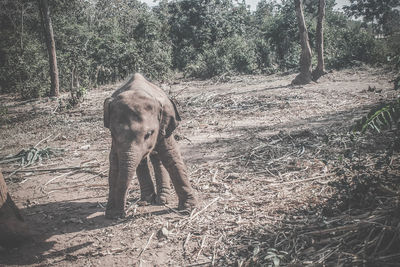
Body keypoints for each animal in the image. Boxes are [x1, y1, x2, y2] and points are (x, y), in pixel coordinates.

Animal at [103, 73, 197, 220]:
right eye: (113, 132)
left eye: (148, 134)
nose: (122, 214)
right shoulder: (115, 143)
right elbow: (114, 164)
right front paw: (112, 214)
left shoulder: (164, 126)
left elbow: (171, 156)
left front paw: (188, 209)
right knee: (142, 160)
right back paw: (147, 200)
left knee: (158, 157)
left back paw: (162, 199)